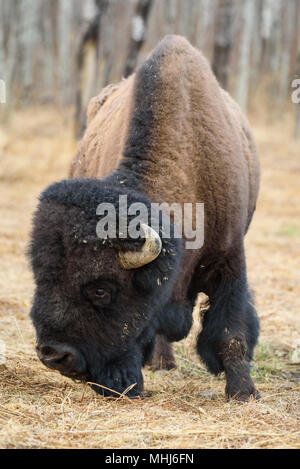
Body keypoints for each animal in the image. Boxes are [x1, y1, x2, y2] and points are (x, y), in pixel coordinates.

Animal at [29, 36, 260, 400]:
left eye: (101, 290)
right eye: (39, 275)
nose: (53, 354)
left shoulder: (230, 259)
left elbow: (230, 328)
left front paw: (244, 392)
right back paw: (161, 363)